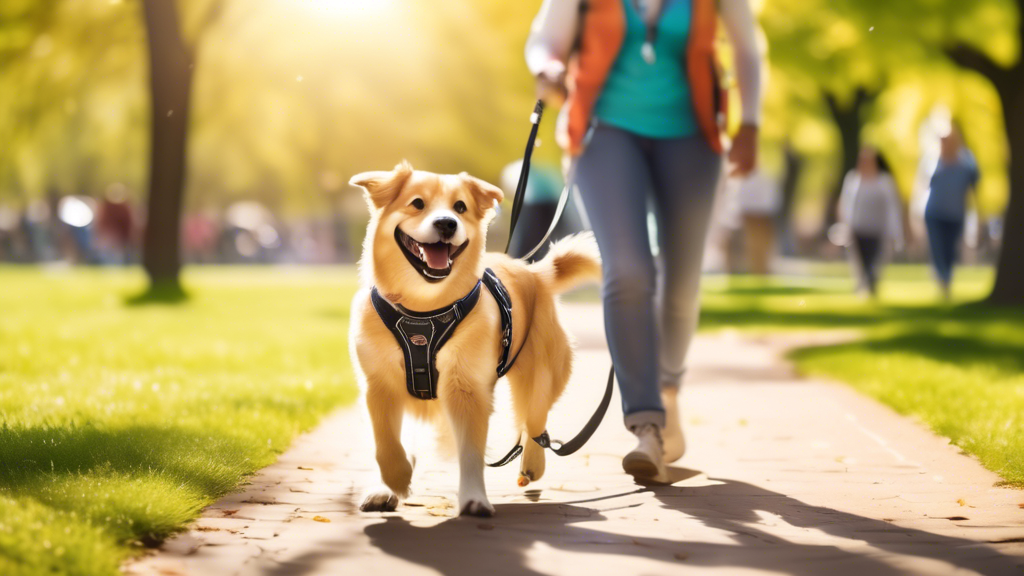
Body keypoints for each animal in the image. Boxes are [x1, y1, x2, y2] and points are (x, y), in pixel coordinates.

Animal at [350, 158, 598, 512]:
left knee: (534, 422)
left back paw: (532, 464)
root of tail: (534, 271)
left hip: (541, 373)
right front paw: (392, 483)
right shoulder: (378, 384)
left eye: (460, 207)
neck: (422, 310)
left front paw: (473, 498)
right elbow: (386, 442)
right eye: (417, 203)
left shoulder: (466, 386)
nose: (446, 224)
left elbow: (470, 449)